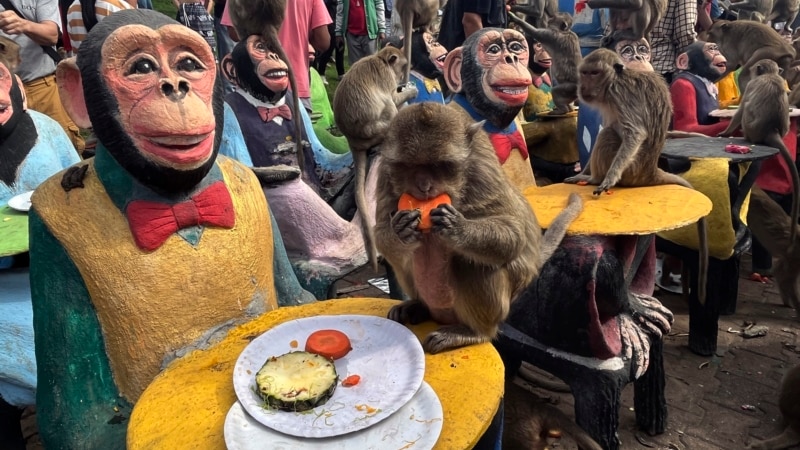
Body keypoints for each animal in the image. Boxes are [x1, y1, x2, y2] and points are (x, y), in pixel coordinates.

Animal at [376, 102, 580, 356]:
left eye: (440, 165)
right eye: (410, 166)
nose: (424, 186)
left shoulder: (482, 168)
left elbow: (513, 234)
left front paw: (457, 228)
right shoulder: (384, 172)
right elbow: (380, 228)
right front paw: (399, 230)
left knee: (470, 263)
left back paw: (475, 332)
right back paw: (418, 306)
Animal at [564, 48, 708, 302]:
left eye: (594, 73)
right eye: (585, 73)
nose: (583, 87)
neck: (614, 81)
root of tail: (650, 172)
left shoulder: (620, 95)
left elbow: (634, 133)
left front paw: (607, 178)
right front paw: (582, 170)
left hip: (631, 170)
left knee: (609, 136)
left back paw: (595, 178)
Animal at [720, 58, 800, 250]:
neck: (770, 74)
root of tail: (772, 130)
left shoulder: (750, 85)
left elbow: (741, 109)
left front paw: (725, 132)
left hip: (750, 128)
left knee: (746, 110)